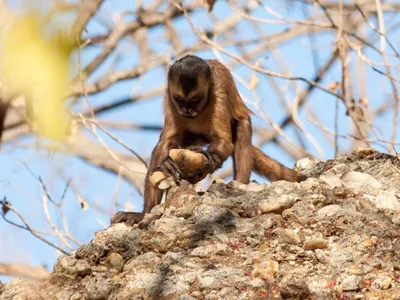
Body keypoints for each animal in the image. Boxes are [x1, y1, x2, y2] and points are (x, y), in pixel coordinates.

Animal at [111, 55, 304, 225]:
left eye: (195, 100)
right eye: (180, 100)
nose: (187, 110)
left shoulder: (218, 91)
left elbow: (224, 141)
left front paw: (209, 160)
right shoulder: (169, 95)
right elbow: (166, 142)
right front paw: (167, 164)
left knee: (242, 126)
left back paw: (238, 184)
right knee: (163, 145)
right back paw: (144, 213)